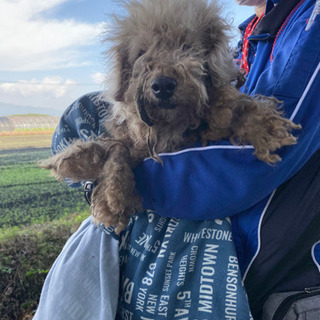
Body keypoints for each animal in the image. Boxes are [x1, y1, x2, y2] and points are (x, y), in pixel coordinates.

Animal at [42, 0, 300, 232]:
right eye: (141, 53)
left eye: (187, 47)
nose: (162, 85)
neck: (169, 127)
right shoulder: (130, 140)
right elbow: (116, 147)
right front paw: (111, 194)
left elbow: (233, 105)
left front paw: (262, 125)